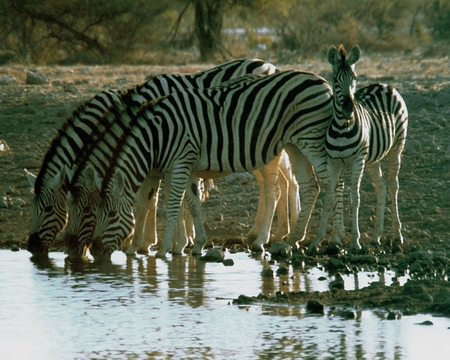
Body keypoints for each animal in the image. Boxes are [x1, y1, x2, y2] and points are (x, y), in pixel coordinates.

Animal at [89, 70, 332, 260]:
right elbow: (193, 203)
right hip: (294, 145)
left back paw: (314, 241)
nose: (94, 251)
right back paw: (293, 239)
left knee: (324, 184)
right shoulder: (185, 166)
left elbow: (173, 205)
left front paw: (164, 249)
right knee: (310, 186)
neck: (159, 135)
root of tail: (324, 82)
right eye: (95, 213)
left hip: (311, 140)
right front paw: (196, 244)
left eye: (112, 214)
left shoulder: (180, 162)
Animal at [312, 44, 408, 250]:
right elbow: (329, 197)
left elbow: (354, 197)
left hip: (396, 146)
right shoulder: (333, 162)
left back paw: (397, 236)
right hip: (372, 157)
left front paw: (355, 241)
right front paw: (318, 240)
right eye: (334, 79)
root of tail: (385, 85)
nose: (348, 108)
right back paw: (376, 236)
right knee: (381, 186)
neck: (342, 127)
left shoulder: (357, 160)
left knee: (392, 184)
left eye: (354, 78)